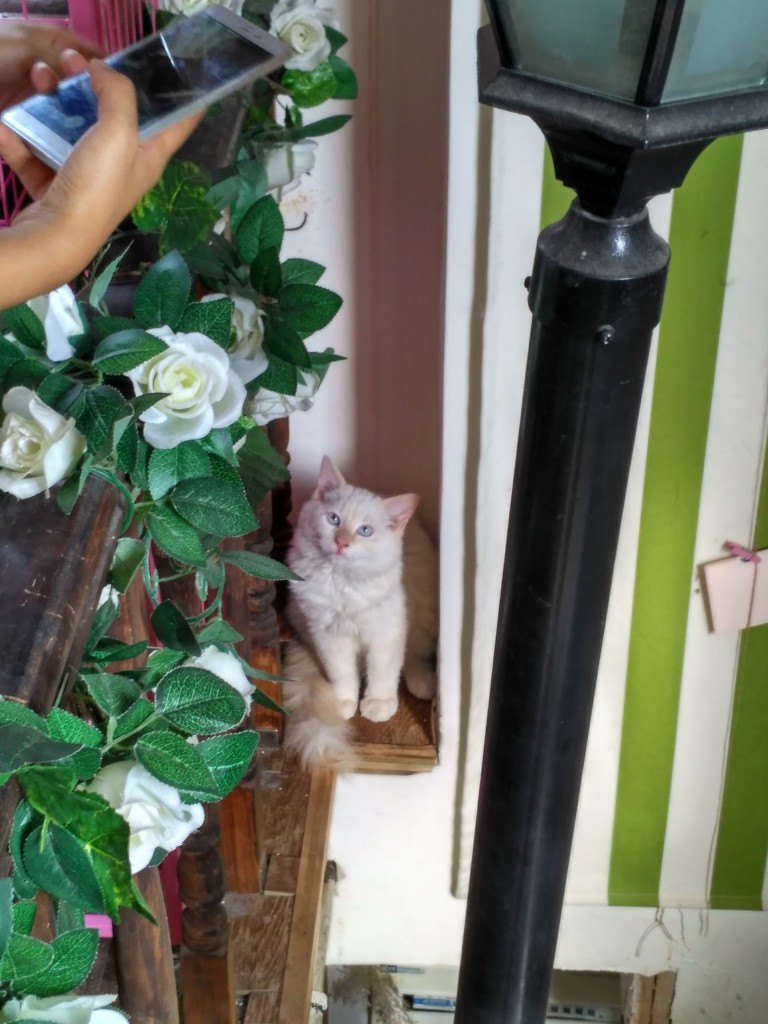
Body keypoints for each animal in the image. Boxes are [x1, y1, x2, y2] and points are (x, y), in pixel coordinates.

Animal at [282, 456, 438, 770]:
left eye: (365, 531)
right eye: (333, 519)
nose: (342, 543)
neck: (341, 581)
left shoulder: (387, 632)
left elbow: (383, 671)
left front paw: (378, 703)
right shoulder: (327, 634)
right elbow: (342, 673)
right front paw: (344, 701)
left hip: (423, 615)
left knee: (414, 655)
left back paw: (422, 683)